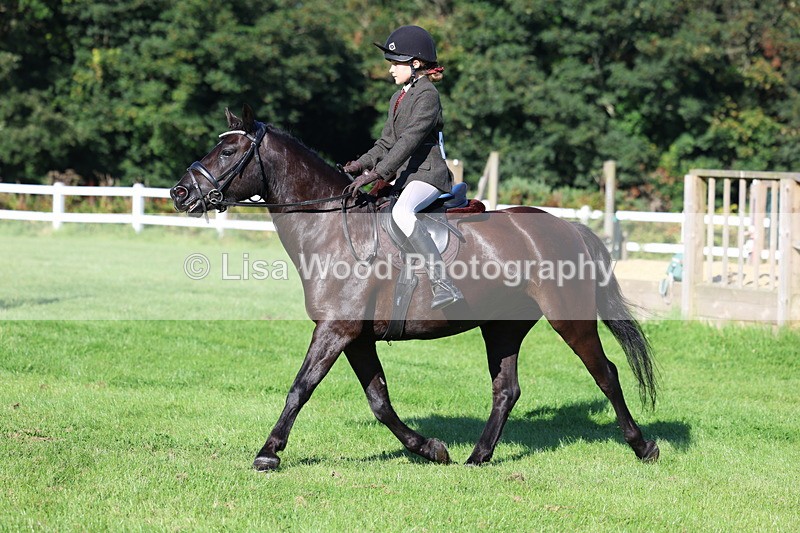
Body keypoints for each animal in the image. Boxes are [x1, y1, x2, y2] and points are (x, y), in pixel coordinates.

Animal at [170, 104, 659, 470]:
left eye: (228, 151)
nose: (180, 194)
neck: (333, 229)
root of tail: (567, 227)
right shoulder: (355, 337)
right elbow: (379, 400)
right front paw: (431, 449)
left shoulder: (335, 331)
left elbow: (300, 387)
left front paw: (268, 453)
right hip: (502, 326)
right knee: (506, 390)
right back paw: (477, 458)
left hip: (569, 319)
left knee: (606, 374)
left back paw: (643, 446)